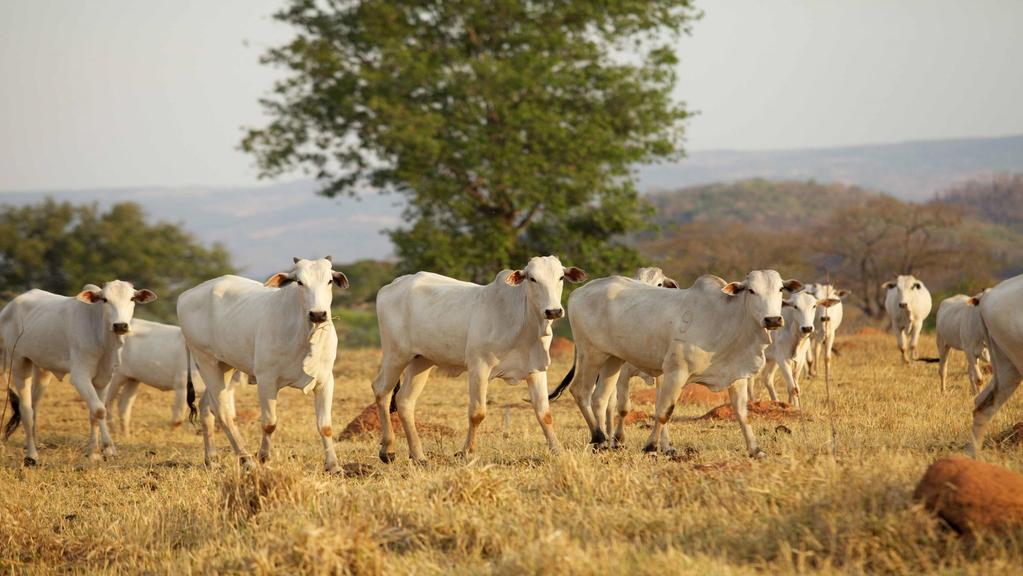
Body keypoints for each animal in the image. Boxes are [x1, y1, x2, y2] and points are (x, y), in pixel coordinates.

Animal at [0, 282, 156, 466]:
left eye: (132, 298)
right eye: (105, 299)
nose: (120, 326)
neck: (101, 336)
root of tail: (9, 306)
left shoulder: (104, 378)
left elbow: (96, 412)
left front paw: (96, 452)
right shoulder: (80, 376)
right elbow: (99, 410)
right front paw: (104, 449)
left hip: (42, 369)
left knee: (34, 406)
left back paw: (32, 445)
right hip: (19, 363)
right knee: (26, 410)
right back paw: (31, 455)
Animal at [179, 256, 347, 472]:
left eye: (329, 281)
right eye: (300, 282)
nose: (318, 314)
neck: (305, 334)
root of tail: (185, 296)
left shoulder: (325, 380)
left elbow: (325, 426)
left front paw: (333, 465)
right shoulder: (266, 380)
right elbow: (269, 423)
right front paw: (264, 457)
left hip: (226, 366)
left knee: (207, 407)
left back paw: (212, 460)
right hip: (206, 361)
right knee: (223, 412)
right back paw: (246, 460)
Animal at [370, 256, 585, 464]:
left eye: (560, 277)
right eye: (532, 278)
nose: (553, 311)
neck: (522, 322)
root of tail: (392, 285)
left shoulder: (536, 370)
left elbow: (544, 413)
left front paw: (558, 451)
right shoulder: (479, 368)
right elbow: (477, 413)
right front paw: (467, 453)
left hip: (421, 361)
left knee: (404, 401)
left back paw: (418, 455)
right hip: (396, 355)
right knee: (381, 391)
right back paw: (388, 450)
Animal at [552, 272, 797, 458]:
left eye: (780, 289)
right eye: (751, 290)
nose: (773, 320)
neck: (725, 318)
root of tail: (578, 293)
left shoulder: (736, 375)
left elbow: (742, 412)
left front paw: (756, 450)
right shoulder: (676, 372)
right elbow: (664, 412)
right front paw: (651, 447)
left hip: (613, 359)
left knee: (600, 399)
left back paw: (603, 444)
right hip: (591, 354)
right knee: (580, 391)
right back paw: (598, 436)